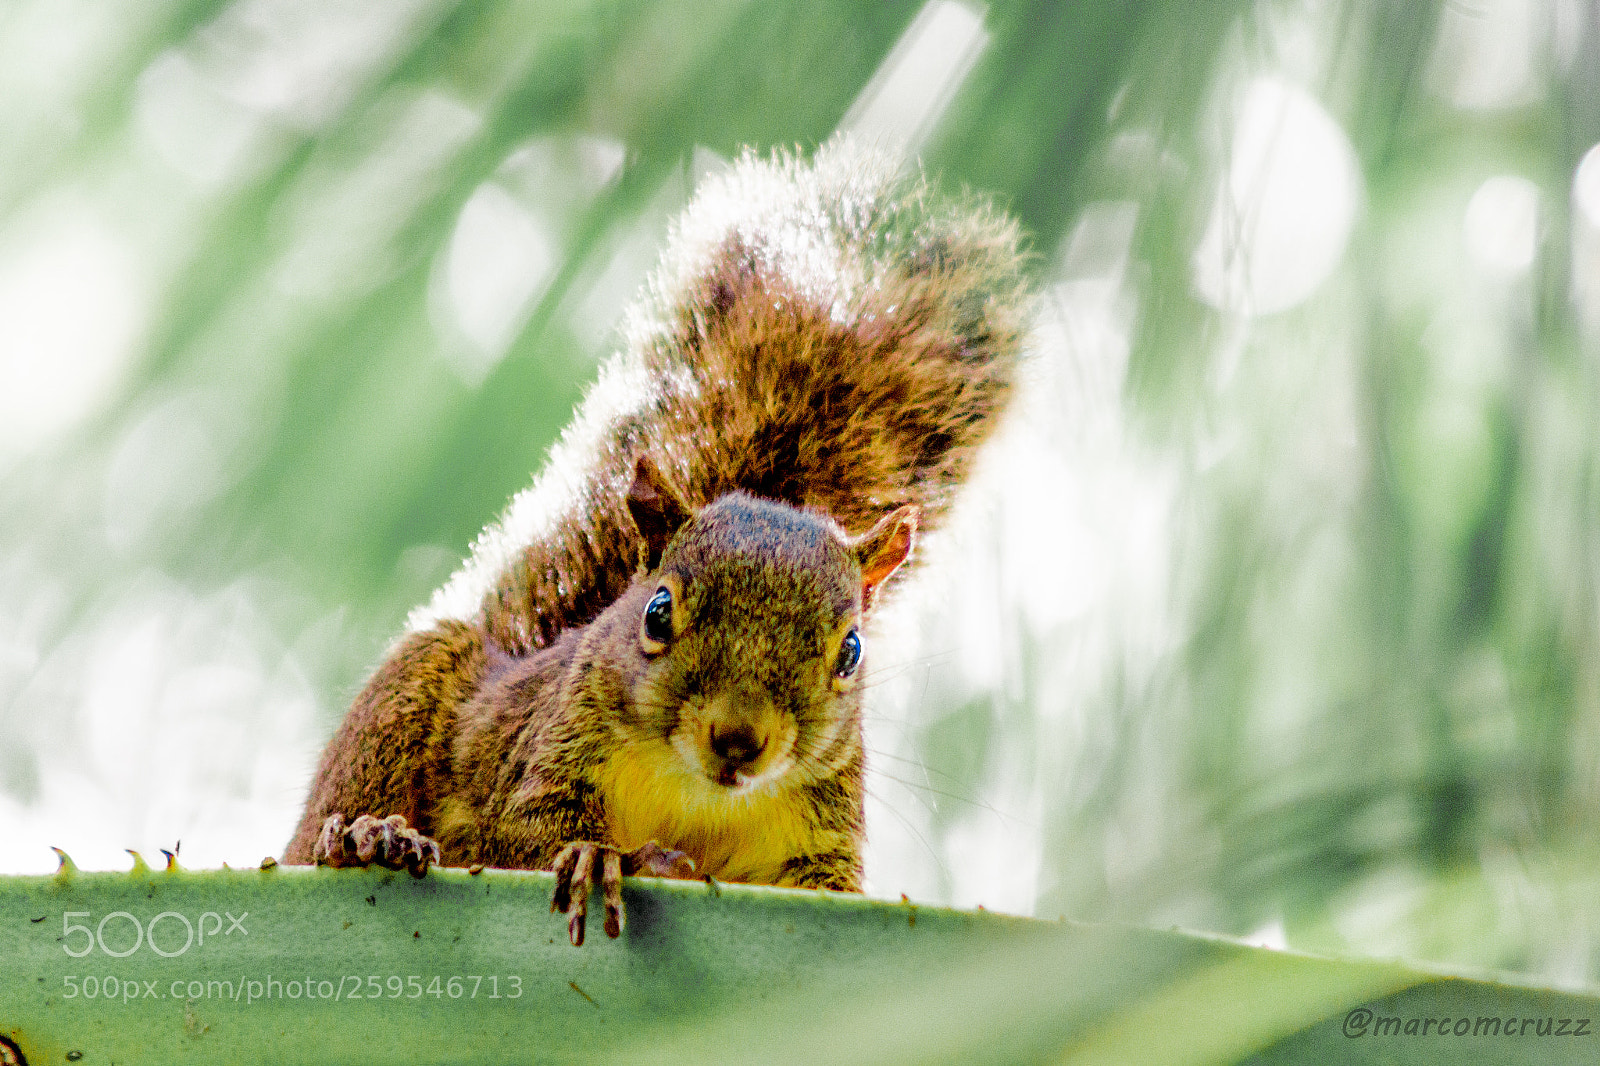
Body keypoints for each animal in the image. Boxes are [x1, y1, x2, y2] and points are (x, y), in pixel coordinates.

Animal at [282, 139, 1031, 945]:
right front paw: (605, 858)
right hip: (404, 703)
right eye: (657, 612)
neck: (697, 795)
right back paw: (366, 838)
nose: (738, 740)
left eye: (852, 652)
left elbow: (830, 889)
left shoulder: (817, 839)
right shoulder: (538, 761)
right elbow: (518, 836)